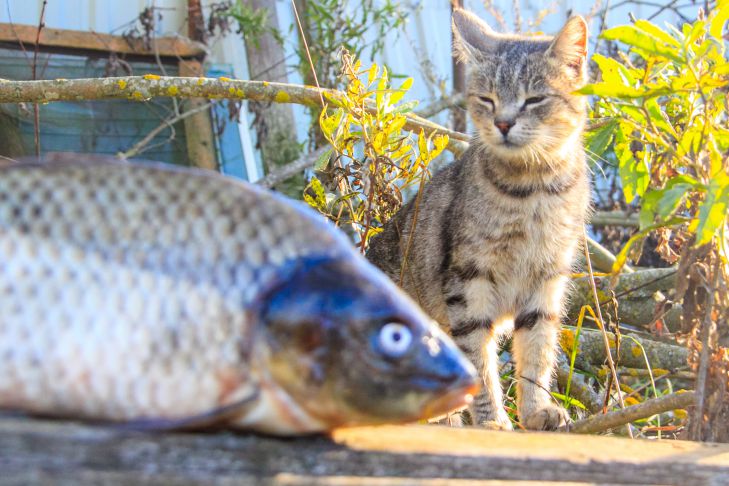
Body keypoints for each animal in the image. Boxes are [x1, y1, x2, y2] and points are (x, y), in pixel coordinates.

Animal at [366, 9, 596, 430]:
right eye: (487, 100)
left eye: (534, 99)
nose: (503, 123)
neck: (534, 191)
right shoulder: (468, 281)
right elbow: (478, 360)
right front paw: (492, 421)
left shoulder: (546, 281)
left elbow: (536, 353)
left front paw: (535, 411)